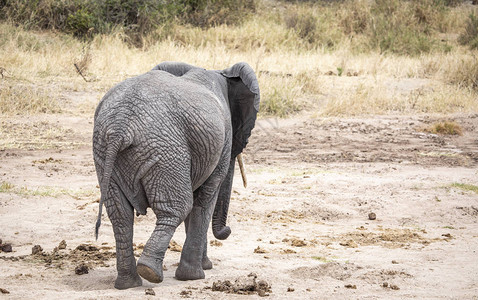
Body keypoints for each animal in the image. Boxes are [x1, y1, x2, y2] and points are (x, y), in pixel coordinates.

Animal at [92, 62, 260, 290]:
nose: (227, 230)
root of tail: (120, 126)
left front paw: (203, 267)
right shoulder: (222, 140)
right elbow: (205, 198)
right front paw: (194, 276)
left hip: (104, 151)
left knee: (120, 215)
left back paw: (129, 283)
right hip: (166, 151)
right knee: (178, 207)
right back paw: (150, 272)